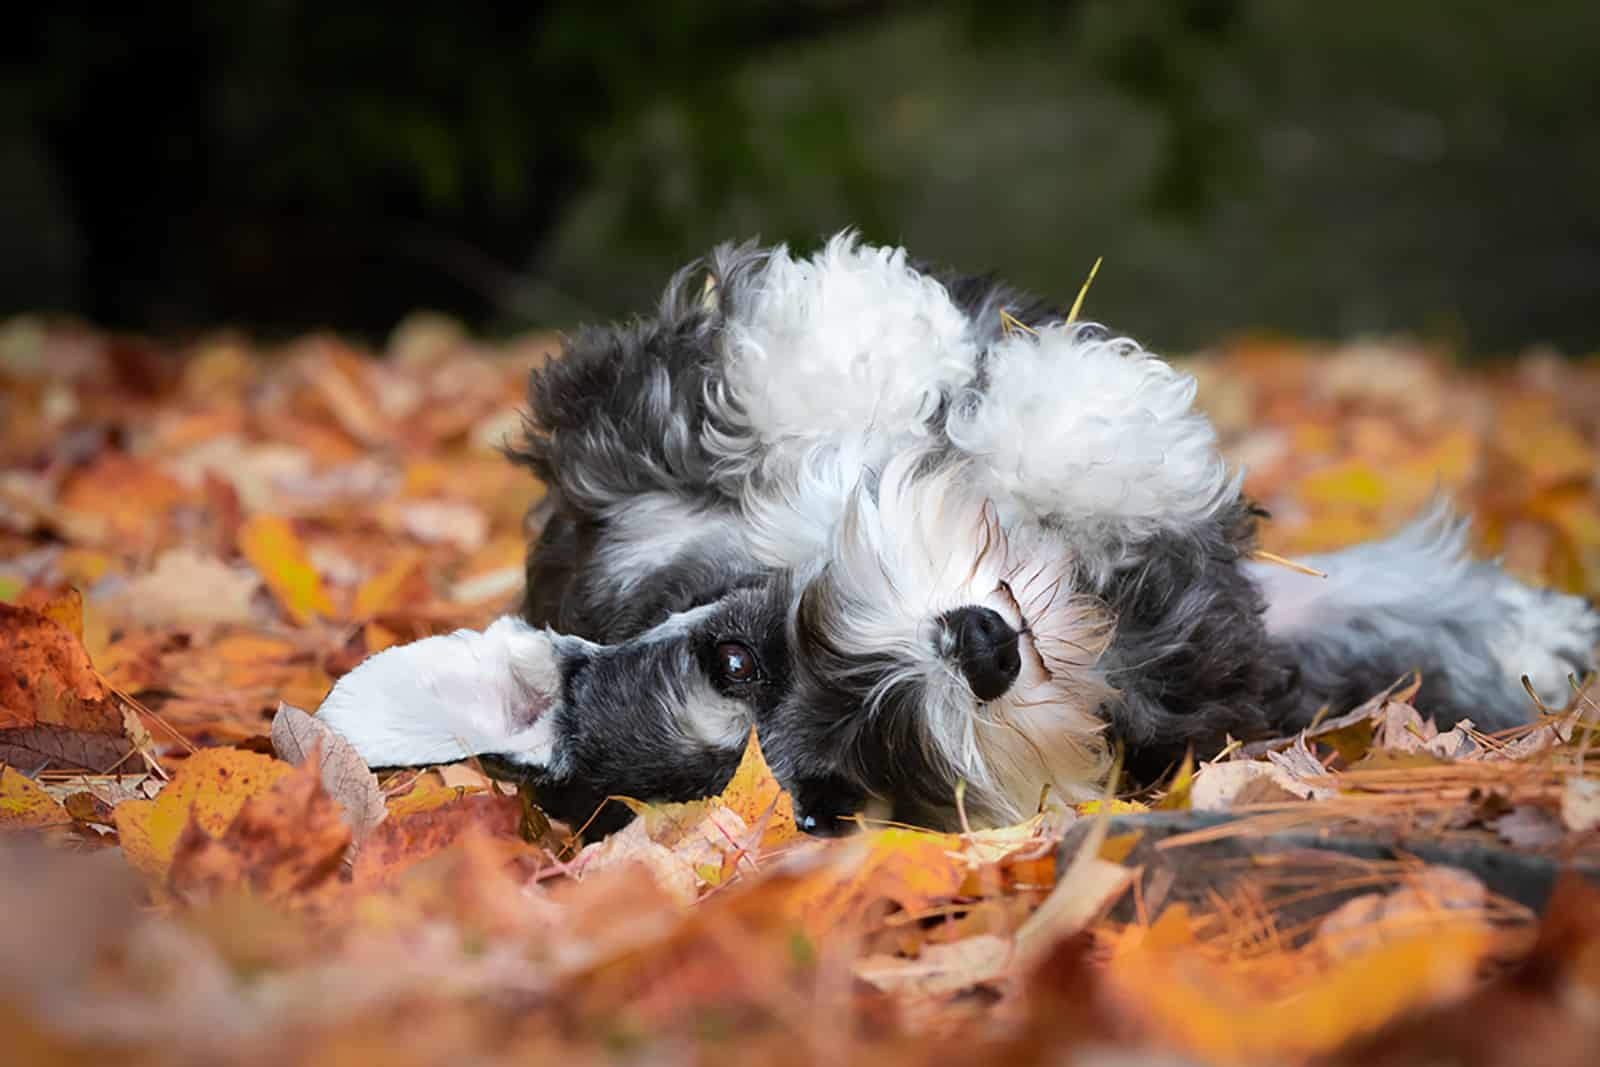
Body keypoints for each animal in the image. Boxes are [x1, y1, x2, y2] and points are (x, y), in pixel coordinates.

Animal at [315, 231, 1600, 831]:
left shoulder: (617, 440)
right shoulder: (1185, 671)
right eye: (833, 804)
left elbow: (793, 360)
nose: (981, 647)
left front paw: (1055, 407)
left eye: (731, 659)